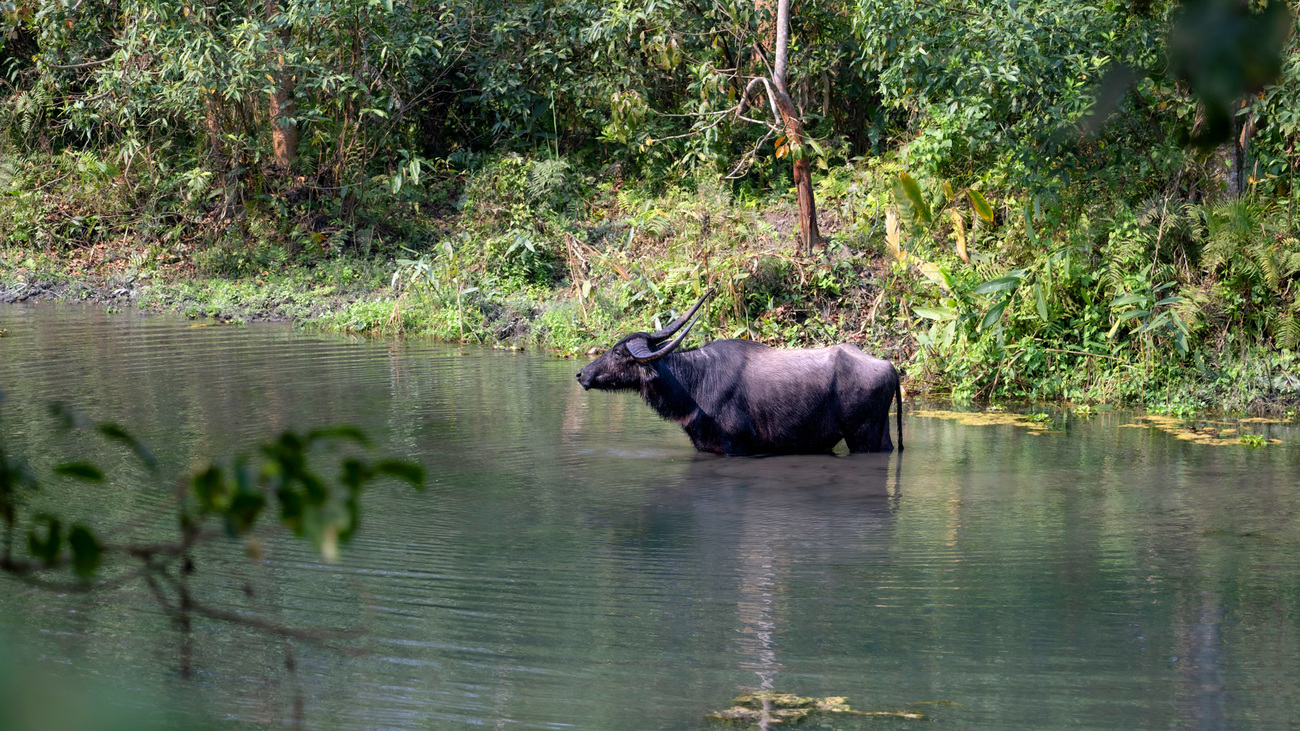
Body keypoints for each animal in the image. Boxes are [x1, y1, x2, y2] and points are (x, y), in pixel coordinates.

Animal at [579, 287, 904, 452]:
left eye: (618, 352)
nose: (582, 374)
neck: (695, 383)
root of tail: (890, 366)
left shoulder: (735, 445)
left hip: (863, 437)